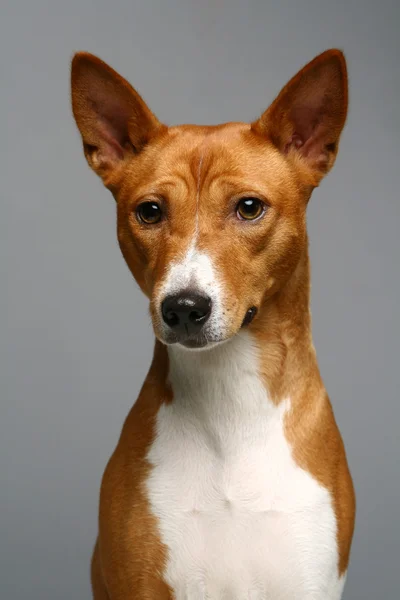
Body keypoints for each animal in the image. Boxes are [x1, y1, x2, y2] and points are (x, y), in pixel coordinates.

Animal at [70, 48, 354, 600]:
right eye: (149, 211)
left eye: (249, 207)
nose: (183, 306)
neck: (230, 398)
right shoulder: (142, 581)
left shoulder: (310, 580)